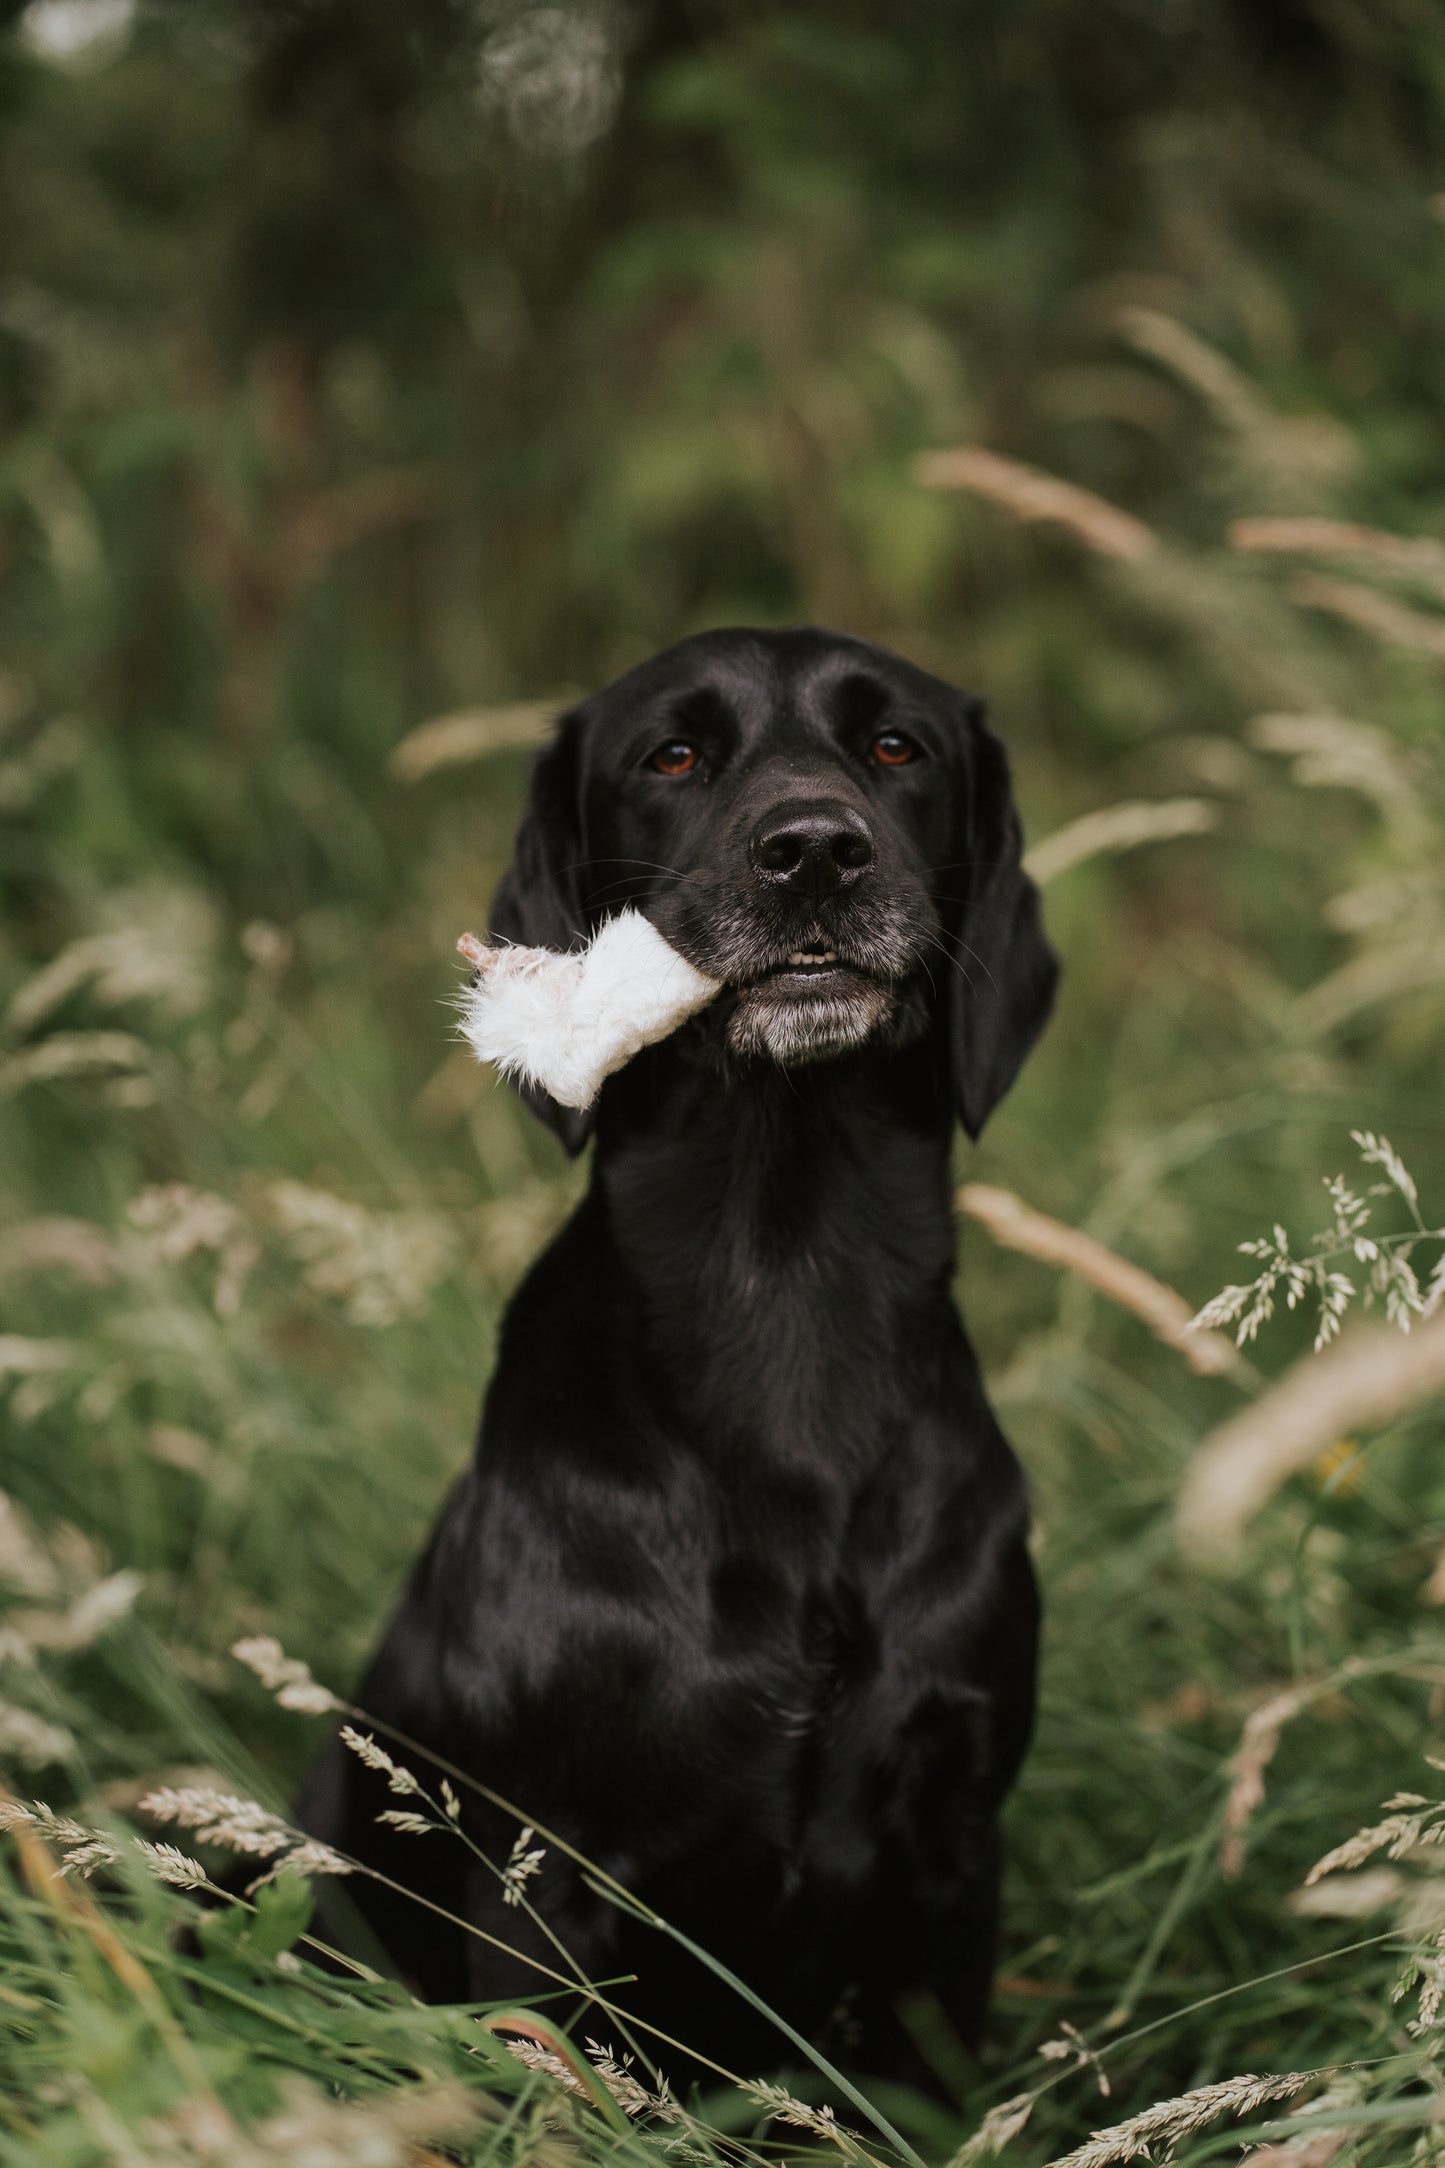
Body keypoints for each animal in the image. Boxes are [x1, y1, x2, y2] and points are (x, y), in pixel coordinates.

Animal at [298, 624, 1057, 2081]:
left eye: (895, 746)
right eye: (673, 755)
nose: (815, 851)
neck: (787, 1288)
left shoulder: (953, 1850)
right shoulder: (546, 1875)